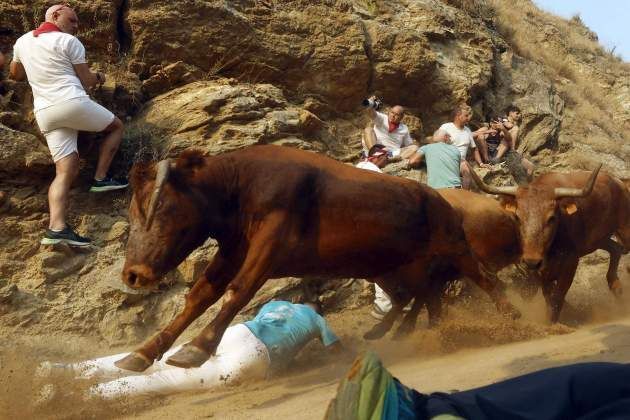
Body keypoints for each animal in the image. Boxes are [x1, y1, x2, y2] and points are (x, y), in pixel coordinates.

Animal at [115, 145, 493, 372]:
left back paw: (503, 319)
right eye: (132, 212)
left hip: (455, 250)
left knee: (484, 282)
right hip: (392, 268)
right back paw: (414, 332)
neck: (240, 187)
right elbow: (199, 296)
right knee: (420, 296)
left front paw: (196, 348)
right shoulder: (234, 250)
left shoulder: (270, 245)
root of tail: (440, 198)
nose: (133, 275)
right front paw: (142, 353)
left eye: (162, 207)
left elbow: (237, 291)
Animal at [469, 164, 630, 323]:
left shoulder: (571, 263)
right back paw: (616, 286)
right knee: (616, 248)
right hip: (599, 239)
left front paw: (553, 323)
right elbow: (548, 296)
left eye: (551, 218)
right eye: (518, 217)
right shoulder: (541, 271)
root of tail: (618, 181)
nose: (531, 261)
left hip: (624, 229)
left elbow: (557, 298)